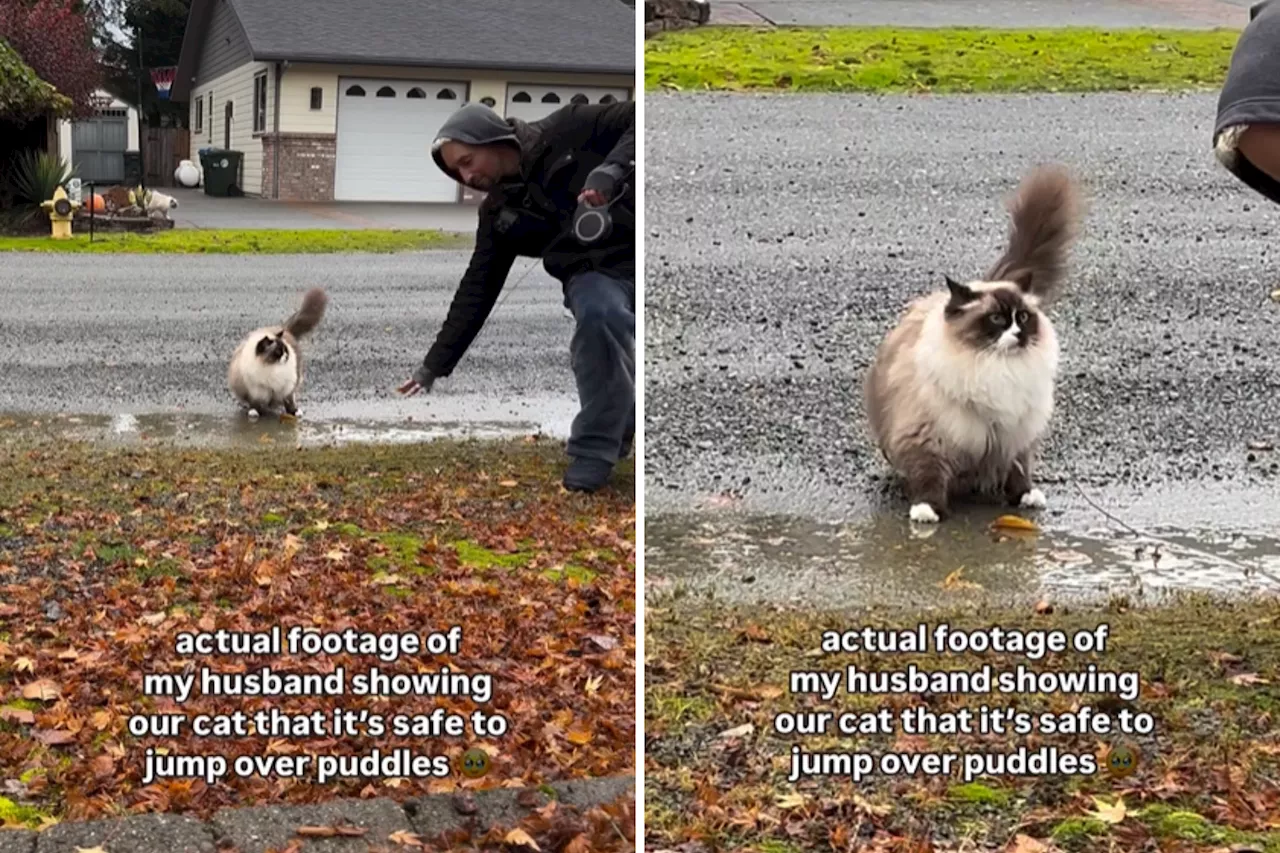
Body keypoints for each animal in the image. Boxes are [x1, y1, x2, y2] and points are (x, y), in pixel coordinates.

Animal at [230, 286, 330, 417]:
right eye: (278, 352)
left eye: (285, 350)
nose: (286, 356)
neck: (271, 368)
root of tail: (285, 329)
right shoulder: (257, 390)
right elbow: (255, 403)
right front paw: (254, 412)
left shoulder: (286, 388)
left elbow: (289, 401)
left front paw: (294, 412)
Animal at [865, 163, 1085, 522]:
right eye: (996, 319)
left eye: (1023, 317)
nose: (1018, 333)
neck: (996, 367)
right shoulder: (928, 439)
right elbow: (929, 479)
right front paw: (927, 511)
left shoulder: (1014, 437)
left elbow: (1019, 472)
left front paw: (1026, 496)